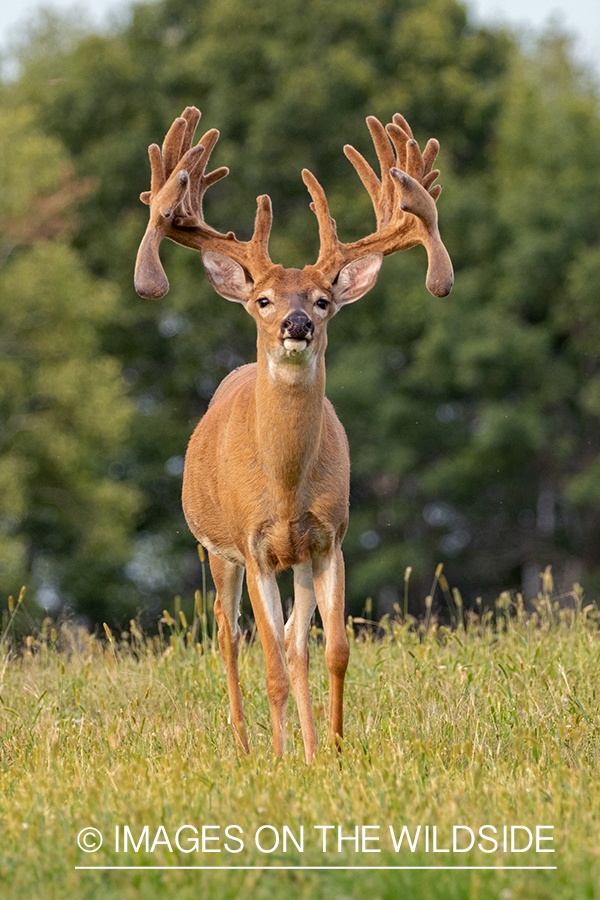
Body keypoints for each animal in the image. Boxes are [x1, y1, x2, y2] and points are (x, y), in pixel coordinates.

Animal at [136, 107, 452, 768]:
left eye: (324, 299)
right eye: (262, 297)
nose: (297, 323)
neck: (282, 487)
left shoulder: (328, 538)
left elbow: (330, 651)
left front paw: (328, 751)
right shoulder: (252, 543)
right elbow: (272, 665)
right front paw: (280, 761)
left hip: (294, 559)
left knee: (292, 641)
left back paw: (302, 745)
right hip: (216, 549)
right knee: (229, 636)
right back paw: (245, 744)